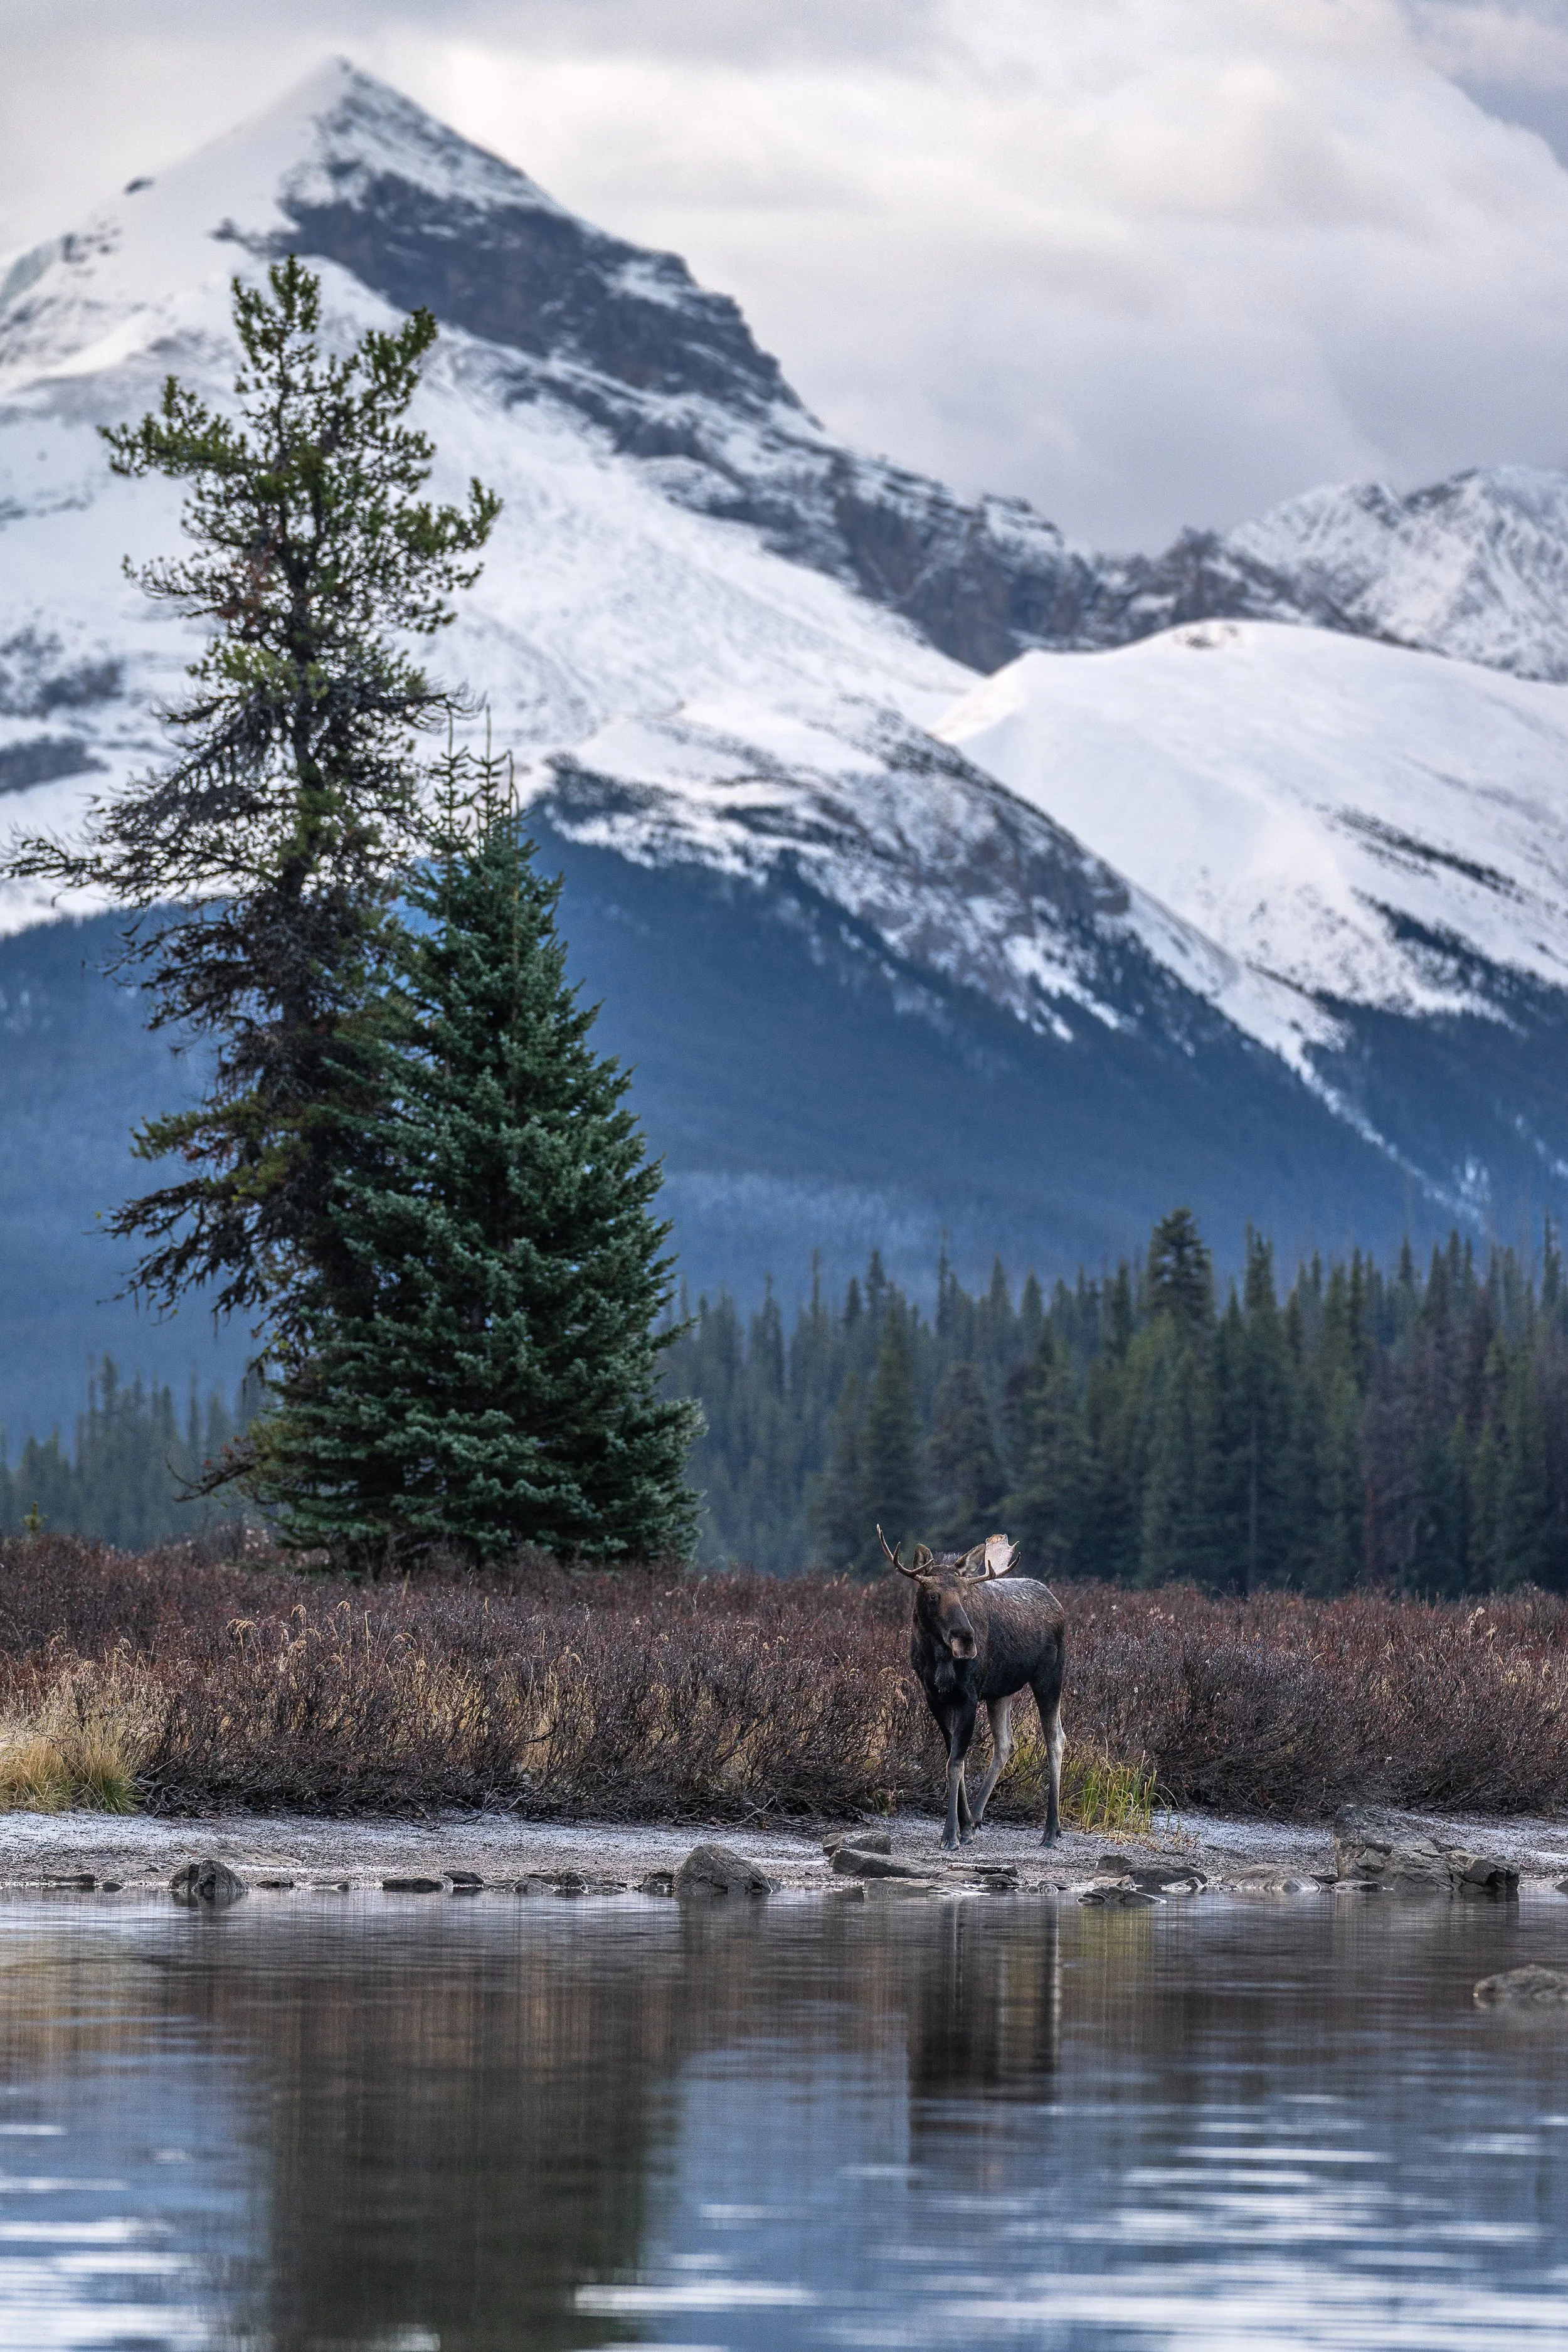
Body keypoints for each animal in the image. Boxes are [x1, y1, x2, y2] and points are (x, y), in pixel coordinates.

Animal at [880, 1527, 1065, 1851]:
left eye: (965, 1596)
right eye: (933, 1595)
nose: (966, 1638)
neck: (938, 1660)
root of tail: (1058, 1605)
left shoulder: (969, 1695)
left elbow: (956, 1763)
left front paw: (951, 1834)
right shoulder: (935, 1697)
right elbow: (955, 1757)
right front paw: (965, 1825)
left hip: (1049, 1677)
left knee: (1055, 1740)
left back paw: (1051, 1831)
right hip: (1001, 1692)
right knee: (1006, 1743)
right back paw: (978, 1816)